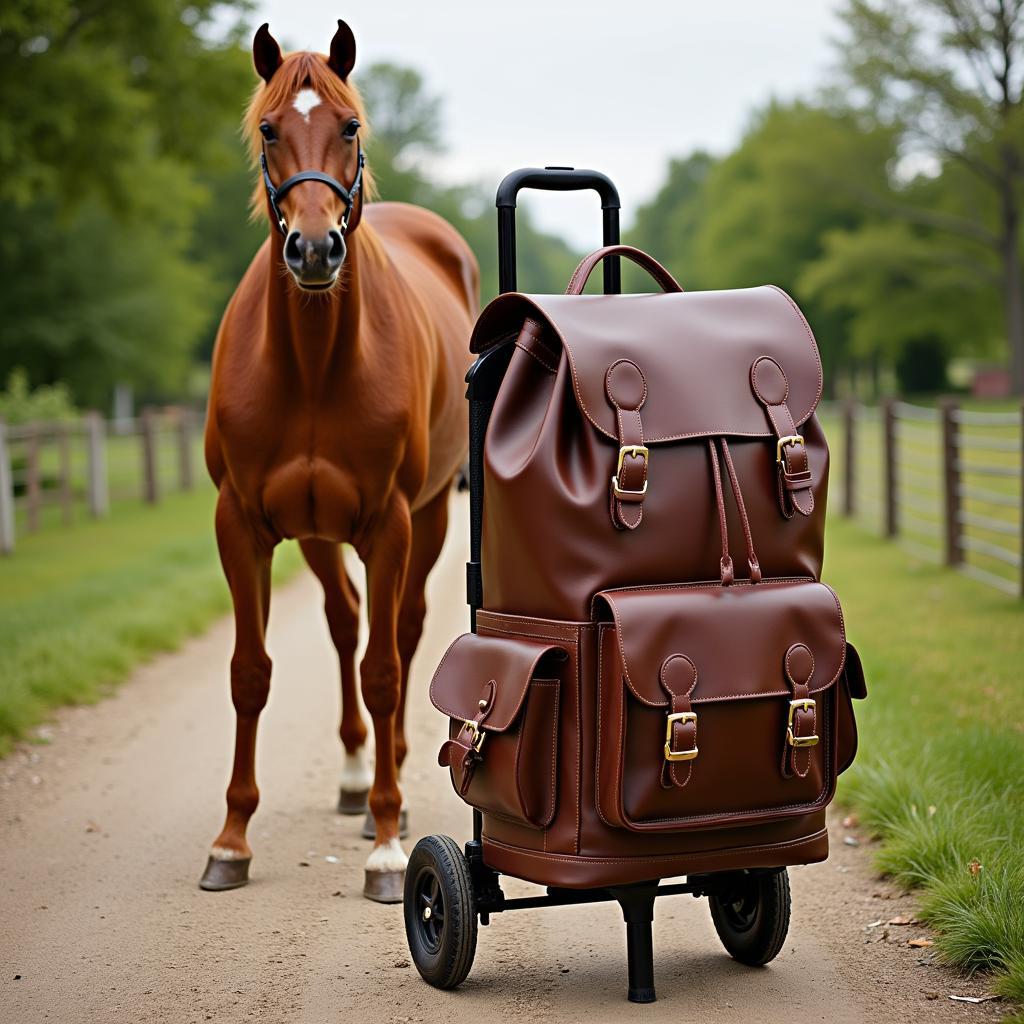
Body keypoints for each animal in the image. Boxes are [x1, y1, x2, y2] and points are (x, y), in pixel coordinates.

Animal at [200, 19, 479, 905]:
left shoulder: (390, 522)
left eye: (350, 126)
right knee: (346, 620)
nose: (315, 249)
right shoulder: (241, 525)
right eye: (267, 129)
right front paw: (231, 841)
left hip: (428, 516)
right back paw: (359, 776)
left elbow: (386, 670)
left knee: (400, 631)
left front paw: (388, 850)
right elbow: (249, 673)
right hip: (320, 534)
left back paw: (385, 791)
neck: (315, 365)